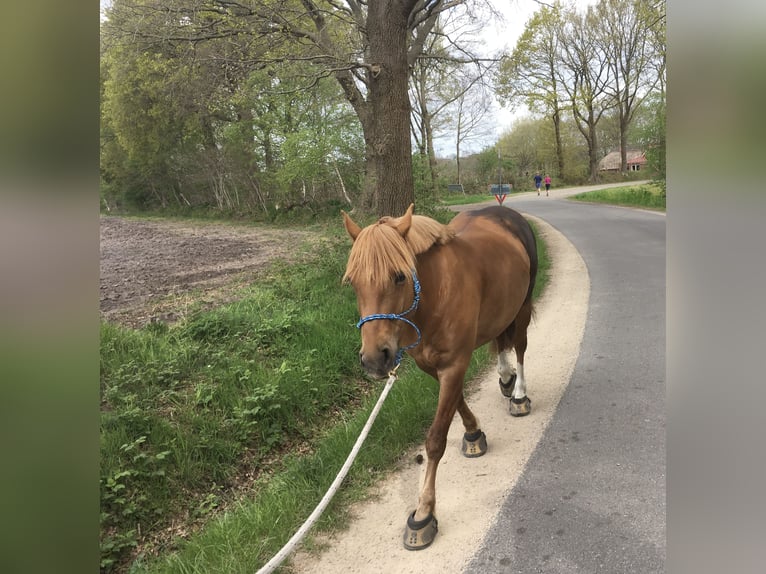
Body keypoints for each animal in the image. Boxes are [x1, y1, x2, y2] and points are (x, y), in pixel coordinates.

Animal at [341, 203, 538, 550]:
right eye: (352, 281)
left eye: (399, 276)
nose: (374, 360)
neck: (435, 296)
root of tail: (504, 212)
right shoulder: (430, 365)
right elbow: (456, 402)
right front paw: (473, 434)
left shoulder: (454, 364)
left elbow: (435, 438)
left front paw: (423, 513)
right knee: (501, 339)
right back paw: (505, 378)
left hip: (523, 306)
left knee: (520, 346)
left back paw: (519, 396)